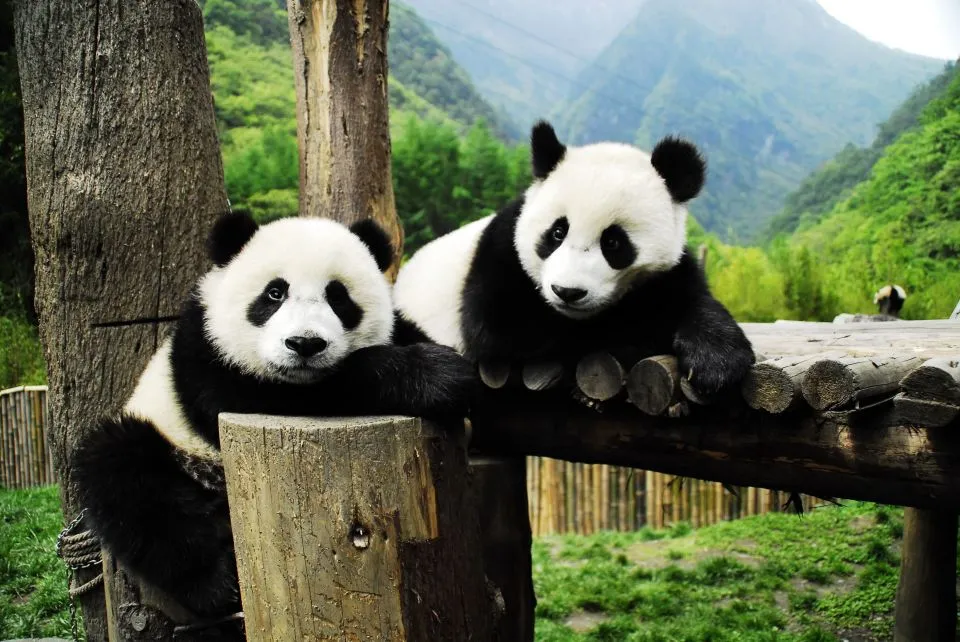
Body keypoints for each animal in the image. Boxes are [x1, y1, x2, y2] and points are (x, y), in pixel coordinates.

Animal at [72, 211, 476, 632]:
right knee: (126, 478)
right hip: (165, 440)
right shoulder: (207, 355)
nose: (305, 344)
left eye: (338, 296)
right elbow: (299, 391)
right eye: (274, 293)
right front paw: (437, 375)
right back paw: (218, 583)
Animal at [394, 121, 754, 402]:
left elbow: (690, 298)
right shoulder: (500, 257)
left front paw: (717, 360)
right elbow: (504, 326)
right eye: (557, 232)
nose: (567, 292)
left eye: (613, 242)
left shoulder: (671, 268)